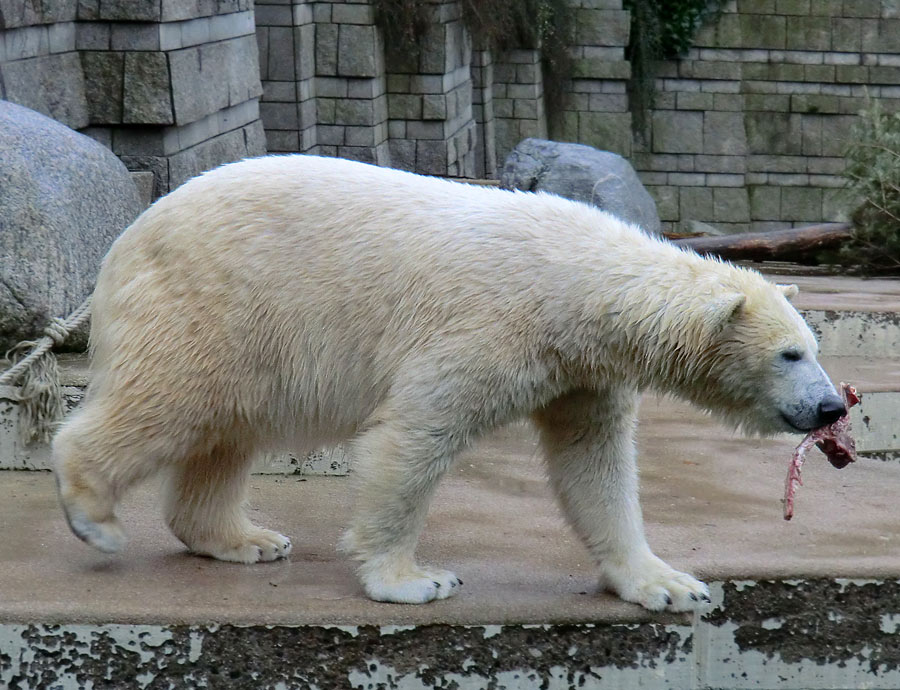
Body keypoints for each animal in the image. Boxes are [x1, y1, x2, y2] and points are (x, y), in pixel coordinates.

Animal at [54, 155, 844, 608]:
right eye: (789, 356)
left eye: (812, 347)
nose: (832, 405)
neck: (576, 282)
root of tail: (126, 237)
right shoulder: (488, 325)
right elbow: (412, 435)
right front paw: (413, 580)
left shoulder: (581, 373)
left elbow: (595, 465)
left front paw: (666, 584)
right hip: (211, 303)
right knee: (168, 401)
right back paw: (93, 513)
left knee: (224, 430)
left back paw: (244, 538)